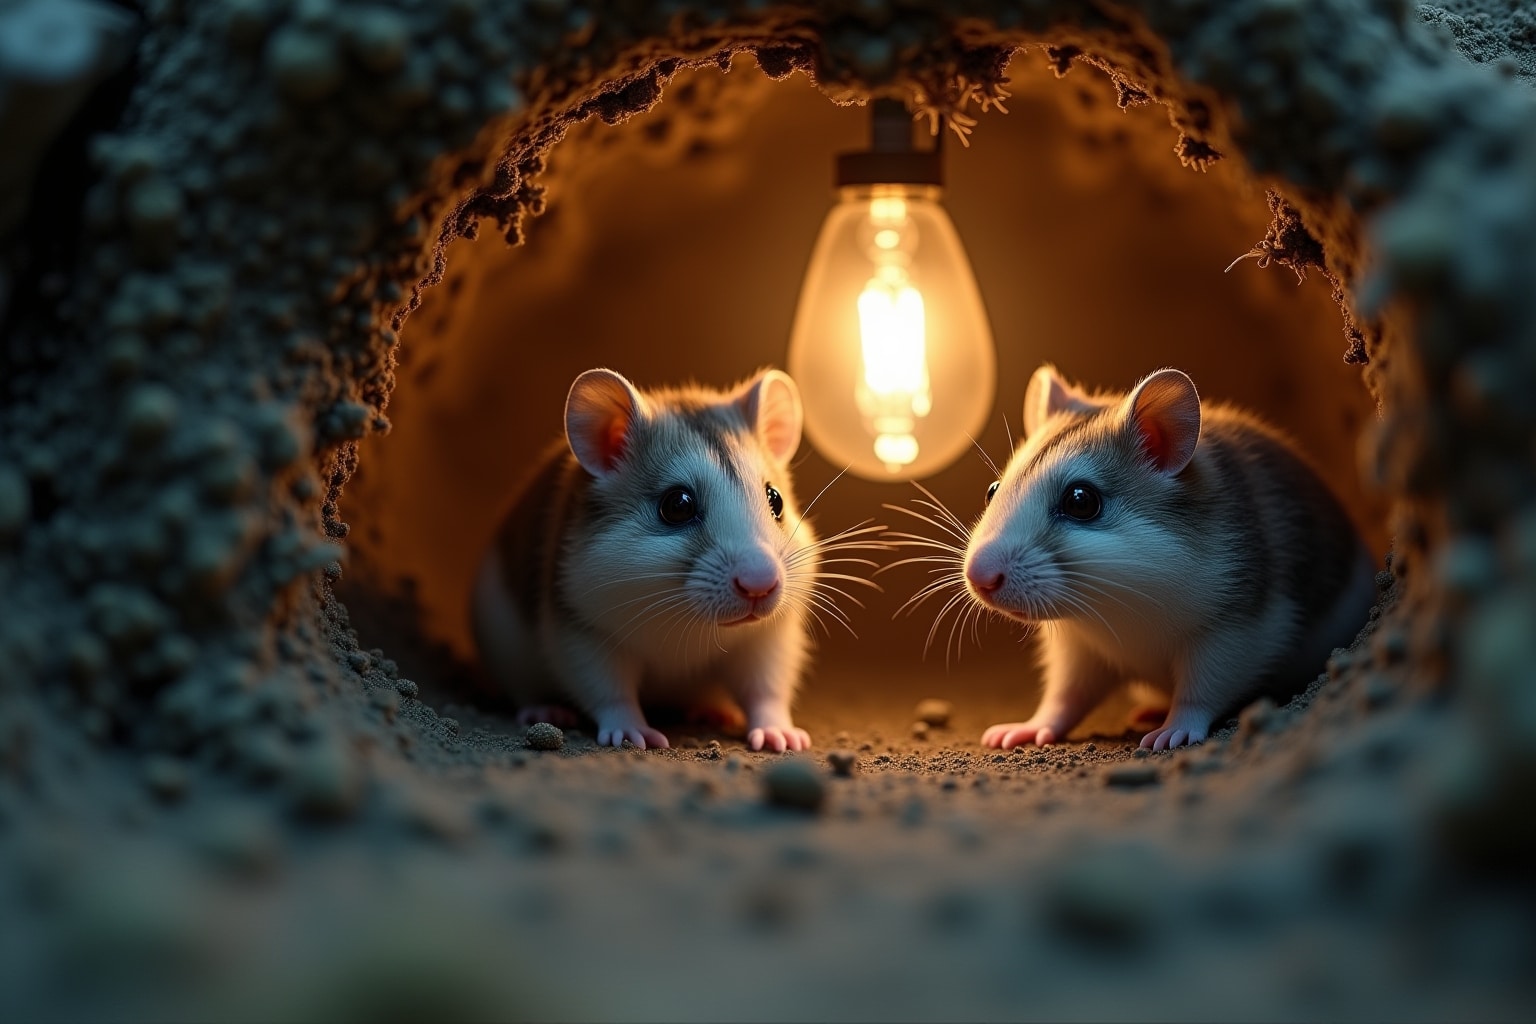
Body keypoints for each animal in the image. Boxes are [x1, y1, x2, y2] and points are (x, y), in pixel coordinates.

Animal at [472, 367, 823, 752]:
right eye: (677, 505)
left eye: (775, 499)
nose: (761, 586)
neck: (687, 621)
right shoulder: (584, 636)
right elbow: (611, 694)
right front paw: (634, 736)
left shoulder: (767, 641)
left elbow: (766, 691)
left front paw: (783, 738)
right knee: (527, 693)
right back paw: (547, 711)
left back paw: (714, 712)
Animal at [960, 365, 1377, 751]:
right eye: (992, 489)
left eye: (1081, 501)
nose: (979, 578)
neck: (1120, 604)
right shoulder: (1079, 649)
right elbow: (1064, 697)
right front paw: (1021, 730)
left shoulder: (1239, 632)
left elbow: (1199, 693)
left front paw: (1170, 734)